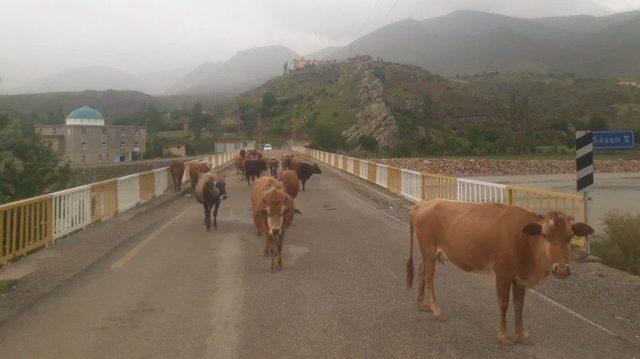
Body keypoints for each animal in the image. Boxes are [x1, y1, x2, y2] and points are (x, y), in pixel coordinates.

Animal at [404, 201, 596, 348]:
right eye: (545, 234)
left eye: (570, 236)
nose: (561, 269)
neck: (526, 241)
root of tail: (422, 204)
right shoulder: (502, 272)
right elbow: (504, 304)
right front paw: (503, 335)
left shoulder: (520, 278)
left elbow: (519, 305)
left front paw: (522, 334)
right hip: (428, 249)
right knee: (429, 277)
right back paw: (437, 311)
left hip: (430, 254)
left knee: (421, 272)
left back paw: (421, 304)